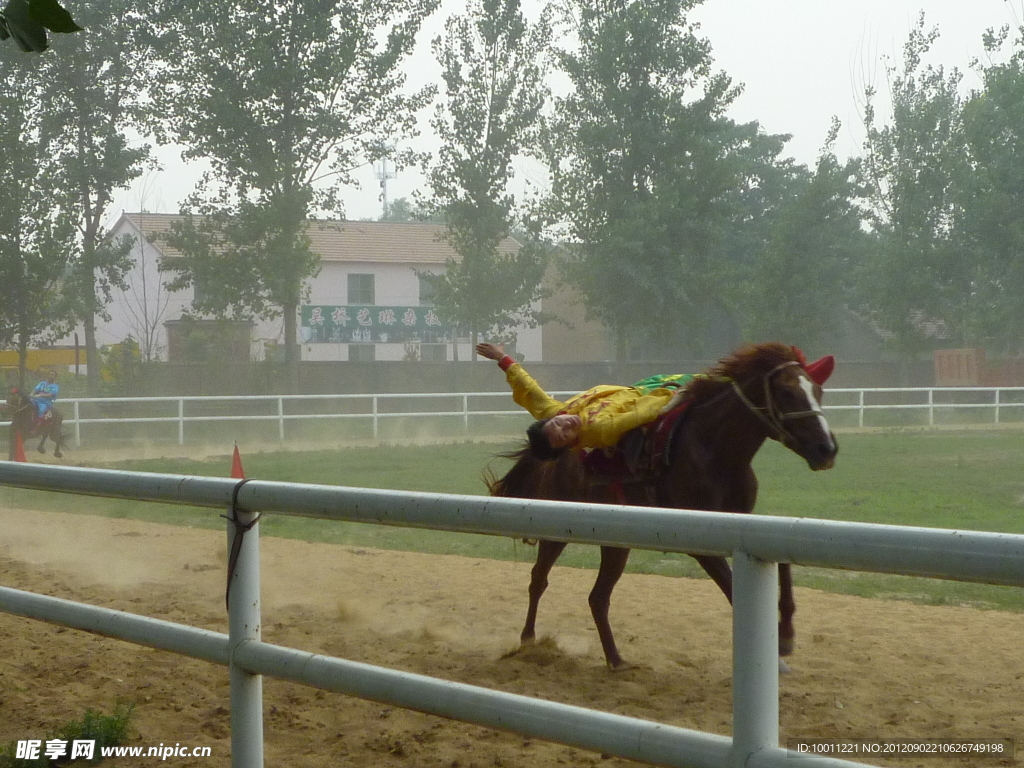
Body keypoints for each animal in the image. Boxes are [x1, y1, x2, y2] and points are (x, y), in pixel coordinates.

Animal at [489, 342, 839, 667]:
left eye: (818, 390)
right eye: (786, 392)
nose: (827, 449)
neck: (713, 450)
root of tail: (553, 462)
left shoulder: (745, 524)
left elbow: (783, 563)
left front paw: (787, 631)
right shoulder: (700, 542)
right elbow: (732, 589)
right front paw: (777, 646)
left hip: (615, 544)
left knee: (597, 598)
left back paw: (616, 660)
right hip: (556, 529)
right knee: (539, 579)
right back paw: (528, 639)